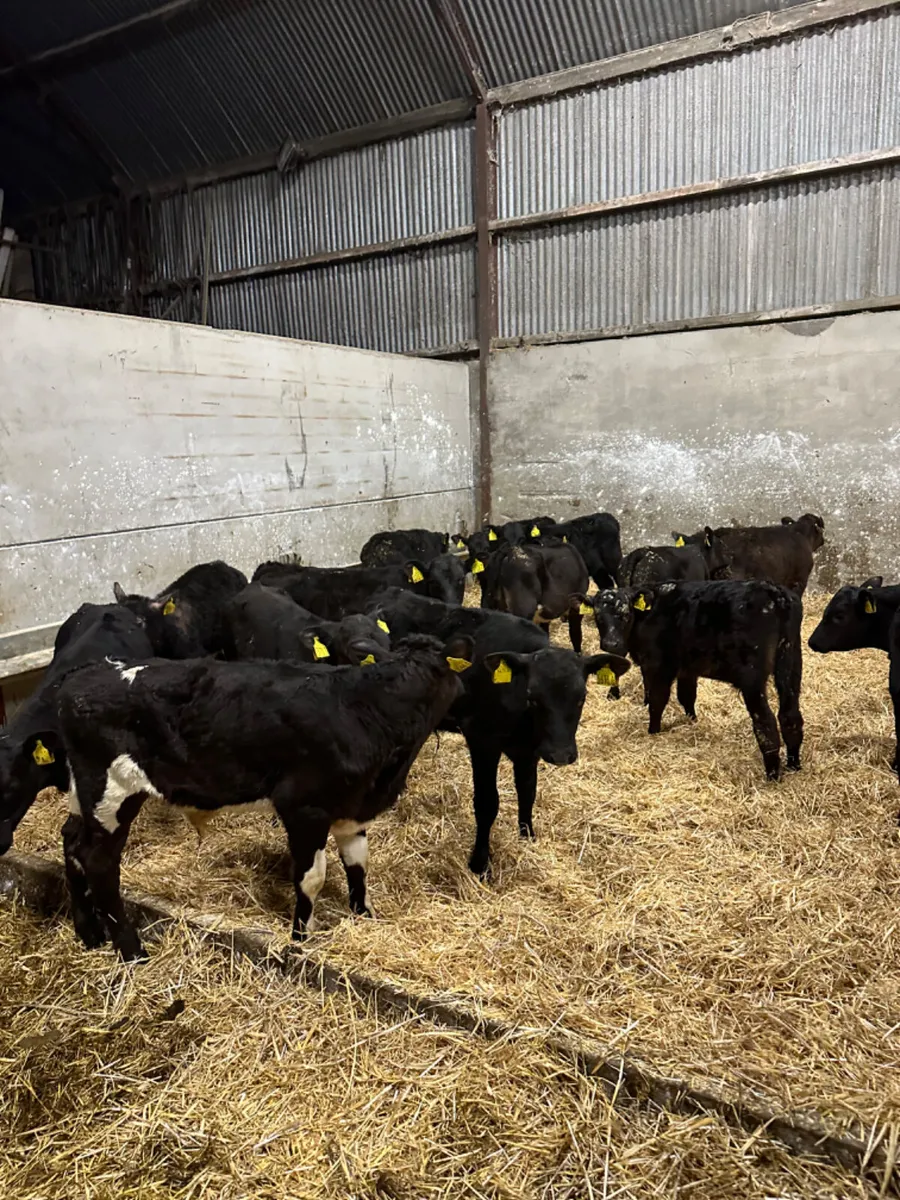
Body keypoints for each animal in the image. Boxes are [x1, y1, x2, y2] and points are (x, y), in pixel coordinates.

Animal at [54, 634, 469, 960]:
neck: (370, 711)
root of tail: (81, 677)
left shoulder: (351, 810)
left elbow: (358, 864)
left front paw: (365, 916)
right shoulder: (303, 807)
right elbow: (311, 877)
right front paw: (301, 938)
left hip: (84, 792)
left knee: (71, 841)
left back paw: (89, 934)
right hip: (112, 790)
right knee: (98, 861)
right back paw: (131, 951)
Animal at [368, 588, 630, 874]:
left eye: (582, 697)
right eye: (532, 697)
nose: (560, 754)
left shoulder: (529, 751)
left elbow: (527, 791)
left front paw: (527, 837)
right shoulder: (482, 741)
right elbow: (487, 803)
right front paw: (480, 863)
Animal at [587, 580, 803, 780]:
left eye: (624, 615)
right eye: (598, 617)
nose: (611, 644)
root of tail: (774, 592)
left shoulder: (658, 666)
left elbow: (657, 701)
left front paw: (653, 731)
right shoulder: (687, 669)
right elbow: (687, 696)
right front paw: (692, 721)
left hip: (752, 678)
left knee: (765, 722)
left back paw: (772, 775)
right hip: (791, 664)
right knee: (790, 716)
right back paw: (793, 765)